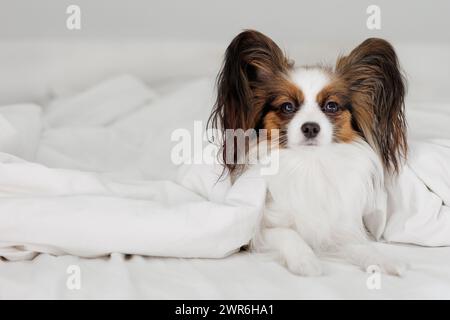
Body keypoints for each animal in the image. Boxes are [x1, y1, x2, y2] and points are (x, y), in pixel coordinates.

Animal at [209, 29, 410, 276]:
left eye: (331, 106)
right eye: (287, 107)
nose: (311, 127)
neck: (309, 164)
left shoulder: (340, 226)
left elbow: (359, 245)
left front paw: (382, 260)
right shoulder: (256, 232)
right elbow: (288, 233)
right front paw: (306, 261)